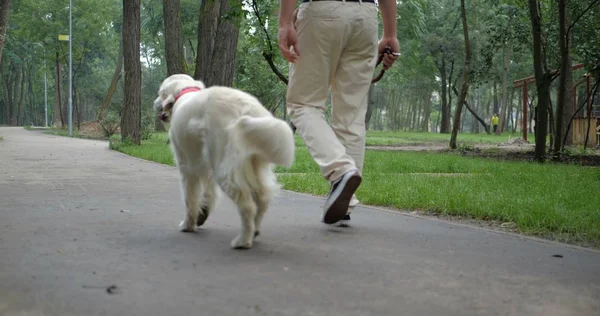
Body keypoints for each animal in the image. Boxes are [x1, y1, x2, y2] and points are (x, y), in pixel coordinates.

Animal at [155, 74, 296, 249]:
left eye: (159, 93)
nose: (157, 105)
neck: (185, 92)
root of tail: (248, 108)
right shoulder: (207, 167)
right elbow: (208, 194)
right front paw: (202, 215)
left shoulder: (187, 166)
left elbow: (190, 199)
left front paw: (188, 224)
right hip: (251, 165)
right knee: (262, 200)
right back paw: (254, 231)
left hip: (224, 169)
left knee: (248, 206)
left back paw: (243, 241)